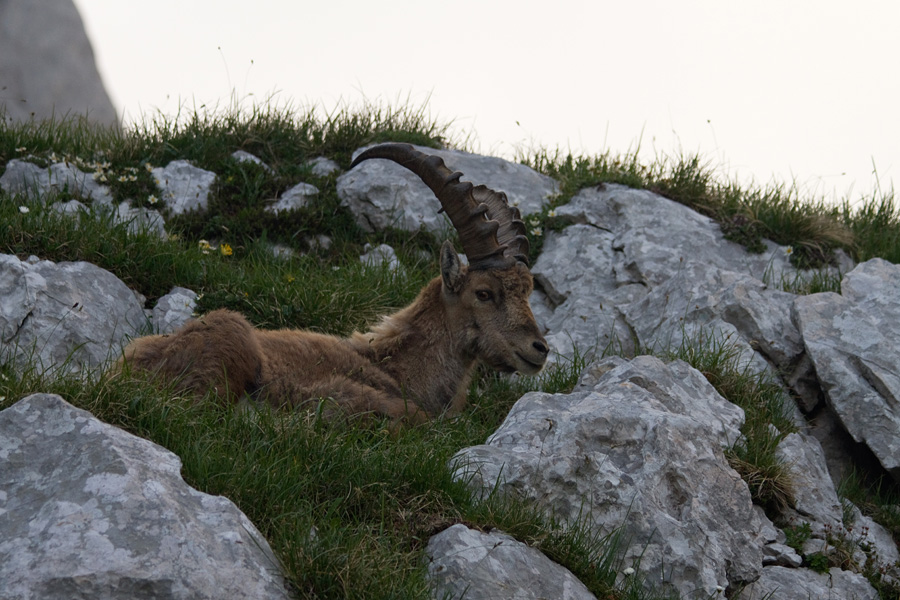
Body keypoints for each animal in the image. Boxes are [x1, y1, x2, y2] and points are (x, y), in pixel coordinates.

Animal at [117, 144, 549, 423]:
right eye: (484, 293)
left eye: (528, 292)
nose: (539, 349)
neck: (402, 370)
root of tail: (129, 372)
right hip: (232, 337)